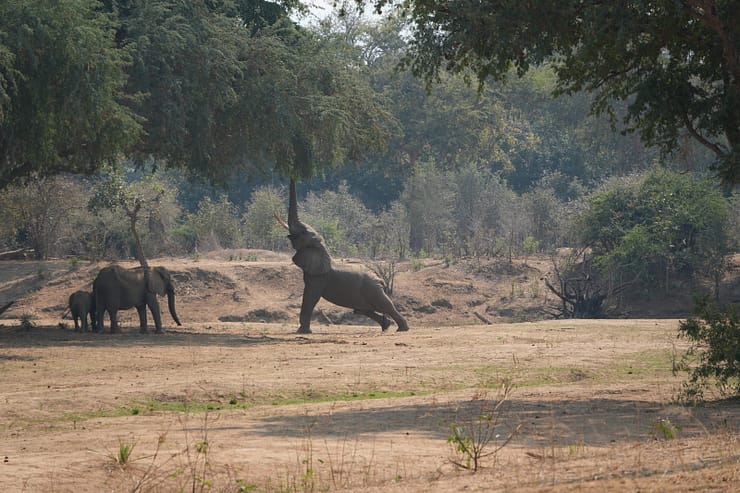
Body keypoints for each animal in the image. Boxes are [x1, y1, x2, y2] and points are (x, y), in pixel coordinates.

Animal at [276, 179, 409, 334]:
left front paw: (302, 332)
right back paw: (386, 326)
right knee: (362, 310)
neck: (323, 249)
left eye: (303, 233)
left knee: (386, 305)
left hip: (373, 289)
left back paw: (402, 329)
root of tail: (381, 280)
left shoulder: (318, 278)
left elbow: (310, 298)